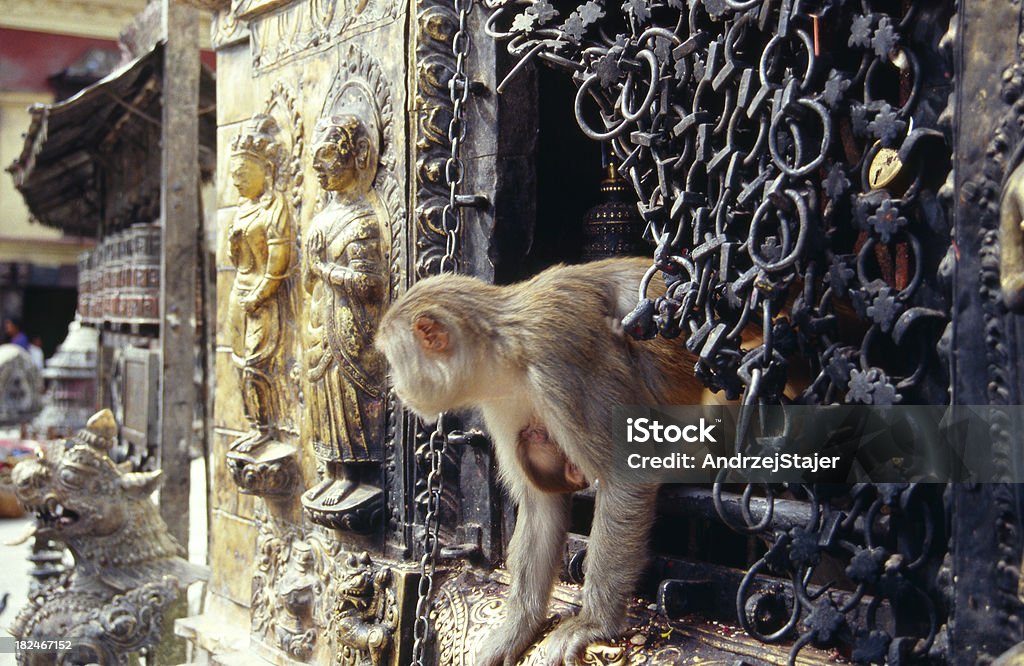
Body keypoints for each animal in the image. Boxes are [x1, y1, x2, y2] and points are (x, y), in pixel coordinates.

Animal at [376, 257, 712, 663]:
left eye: (394, 360)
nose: (394, 386)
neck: (503, 346)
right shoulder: (500, 400)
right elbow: (540, 505)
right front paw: (517, 626)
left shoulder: (557, 362)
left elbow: (625, 476)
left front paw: (593, 624)